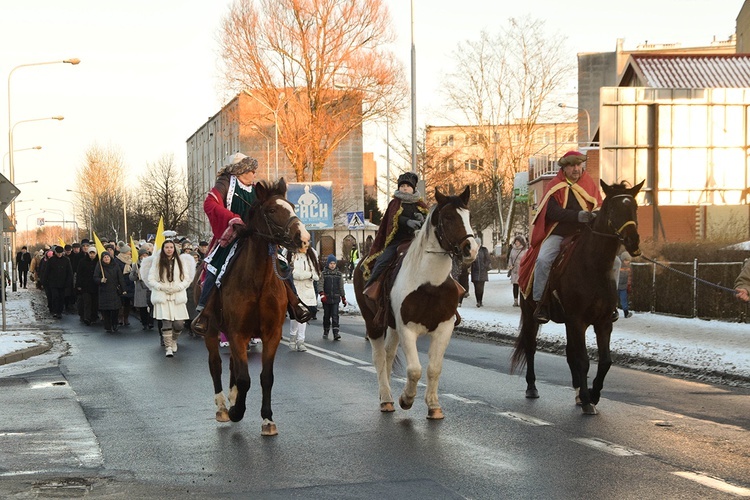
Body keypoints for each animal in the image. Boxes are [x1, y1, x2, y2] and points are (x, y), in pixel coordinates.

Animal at [198, 178, 310, 436]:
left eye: (292, 207)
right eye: (272, 210)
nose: (304, 238)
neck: (257, 282)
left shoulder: (271, 334)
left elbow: (265, 377)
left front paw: (267, 419)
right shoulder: (238, 333)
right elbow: (244, 379)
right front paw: (236, 412)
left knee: (232, 366)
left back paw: (232, 398)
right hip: (211, 331)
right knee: (216, 365)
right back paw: (223, 407)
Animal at [354, 188, 482, 418]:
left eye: (468, 216)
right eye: (448, 217)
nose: (471, 249)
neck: (430, 284)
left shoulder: (444, 328)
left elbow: (434, 368)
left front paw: (433, 405)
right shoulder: (407, 329)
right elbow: (414, 370)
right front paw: (406, 399)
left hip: (391, 325)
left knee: (388, 355)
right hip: (374, 323)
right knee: (379, 358)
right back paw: (386, 398)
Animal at [512, 180, 648, 414]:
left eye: (635, 207)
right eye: (613, 209)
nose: (633, 241)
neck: (593, 265)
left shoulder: (602, 322)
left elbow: (605, 361)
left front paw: (592, 394)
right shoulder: (578, 320)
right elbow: (583, 360)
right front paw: (587, 399)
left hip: (567, 322)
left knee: (569, 352)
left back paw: (576, 391)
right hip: (531, 315)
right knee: (531, 347)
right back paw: (532, 387)